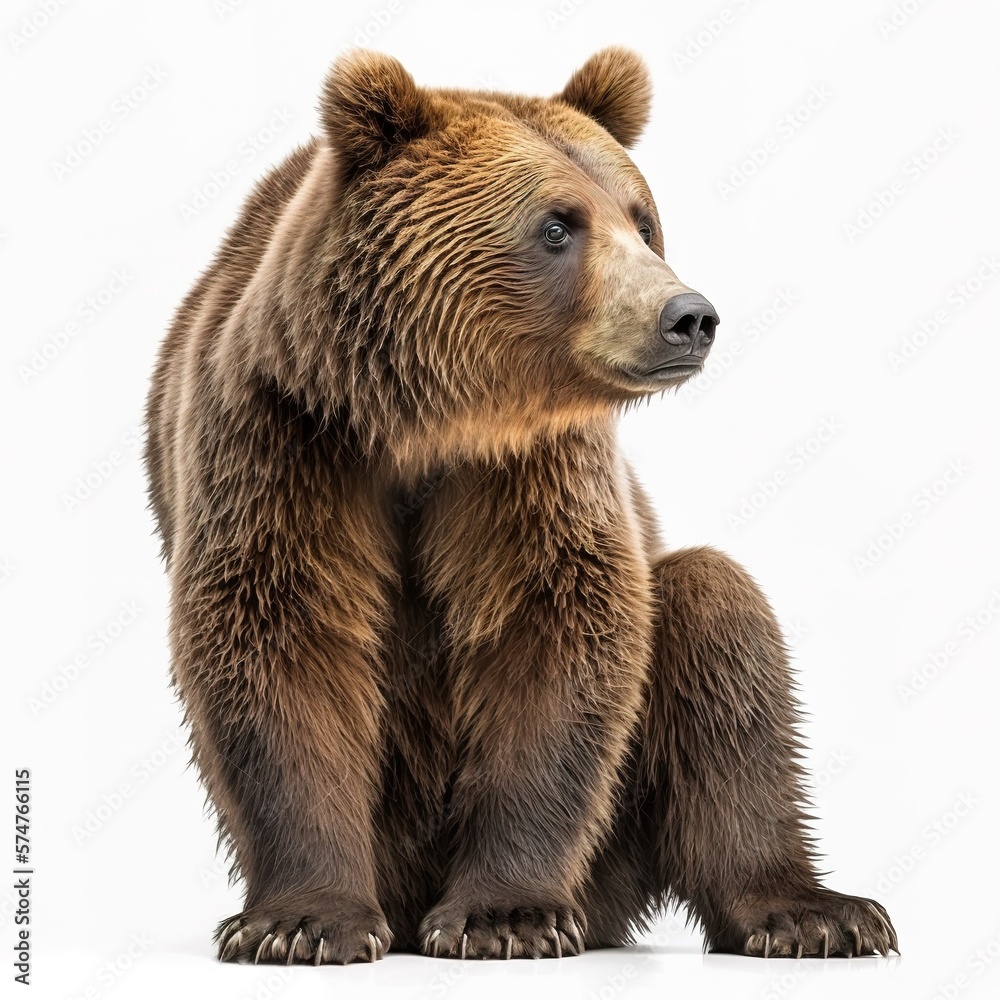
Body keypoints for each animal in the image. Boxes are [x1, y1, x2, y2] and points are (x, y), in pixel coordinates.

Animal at [145, 47, 898, 964]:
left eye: (643, 221)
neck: (424, 419)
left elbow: (555, 630)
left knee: (714, 614)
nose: (688, 315)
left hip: (617, 847)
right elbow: (280, 635)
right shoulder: (283, 432)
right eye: (556, 226)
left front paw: (504, 917)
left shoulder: (532, 466)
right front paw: (302, 922)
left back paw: (814, 913)